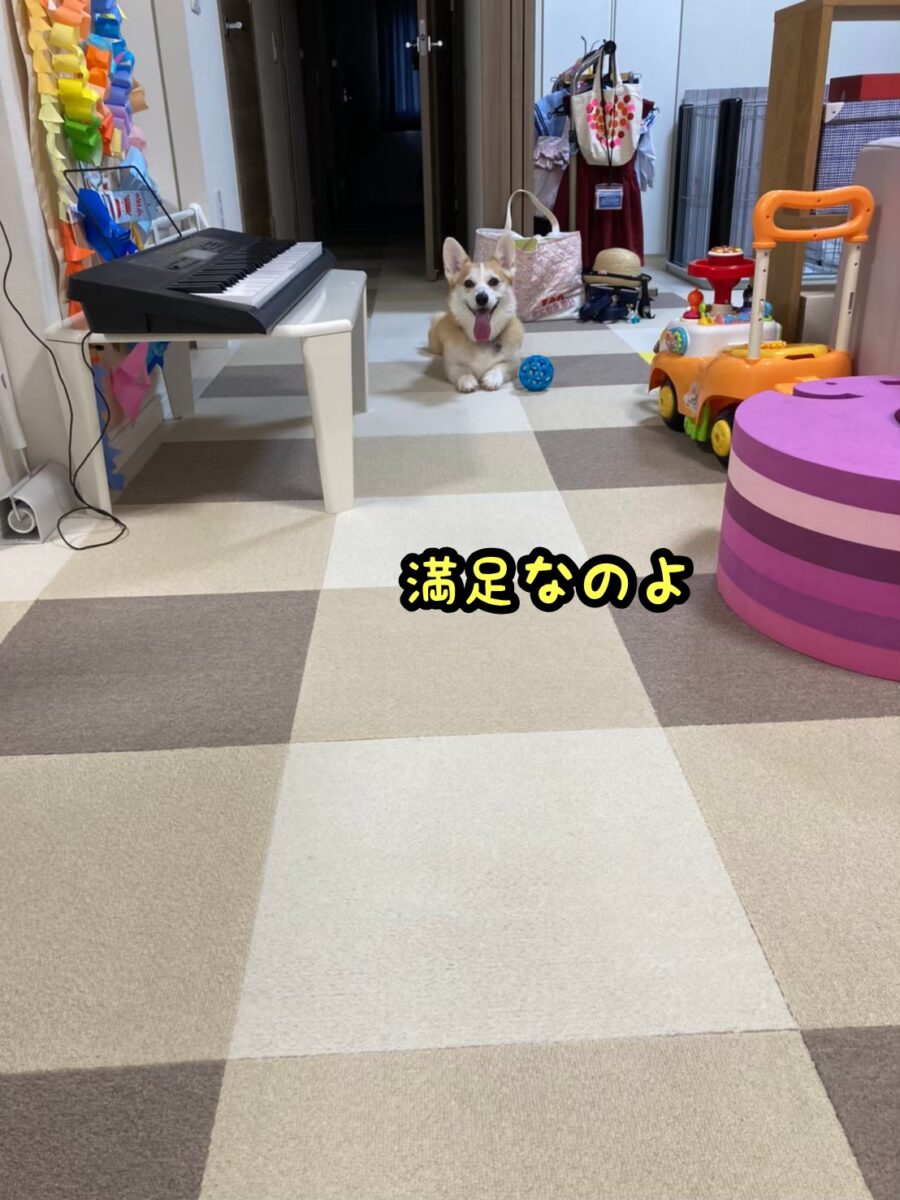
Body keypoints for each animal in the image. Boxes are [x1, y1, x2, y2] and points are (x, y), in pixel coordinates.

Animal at [428, 233, 524, 392]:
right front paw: (466, 379)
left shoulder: (515, 361)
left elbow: (502, 366)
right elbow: (461, 369)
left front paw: (492, 377)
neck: (482, 341)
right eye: (468, 283)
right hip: (435, 345)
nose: (482, 298)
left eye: (493, 281)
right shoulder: (450, 365)